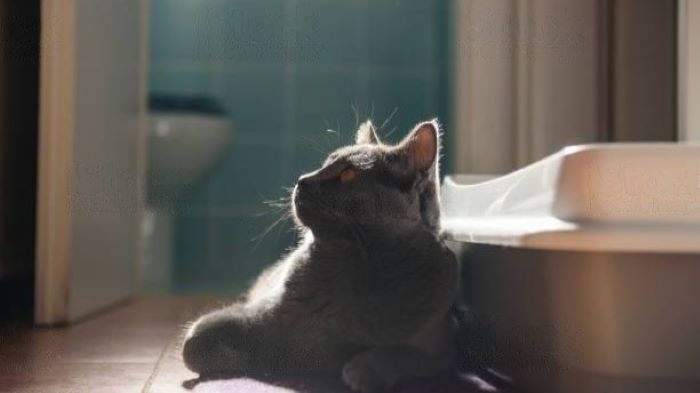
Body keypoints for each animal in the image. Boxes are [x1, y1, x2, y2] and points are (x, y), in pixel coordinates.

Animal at [183, 120, 462, 392]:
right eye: (325, 163)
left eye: (348, 174)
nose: (302, 179)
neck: (351, 268)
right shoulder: (252, 313)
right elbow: (194, 344)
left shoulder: (441, 351)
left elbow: (402, 354)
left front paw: (360, 370)